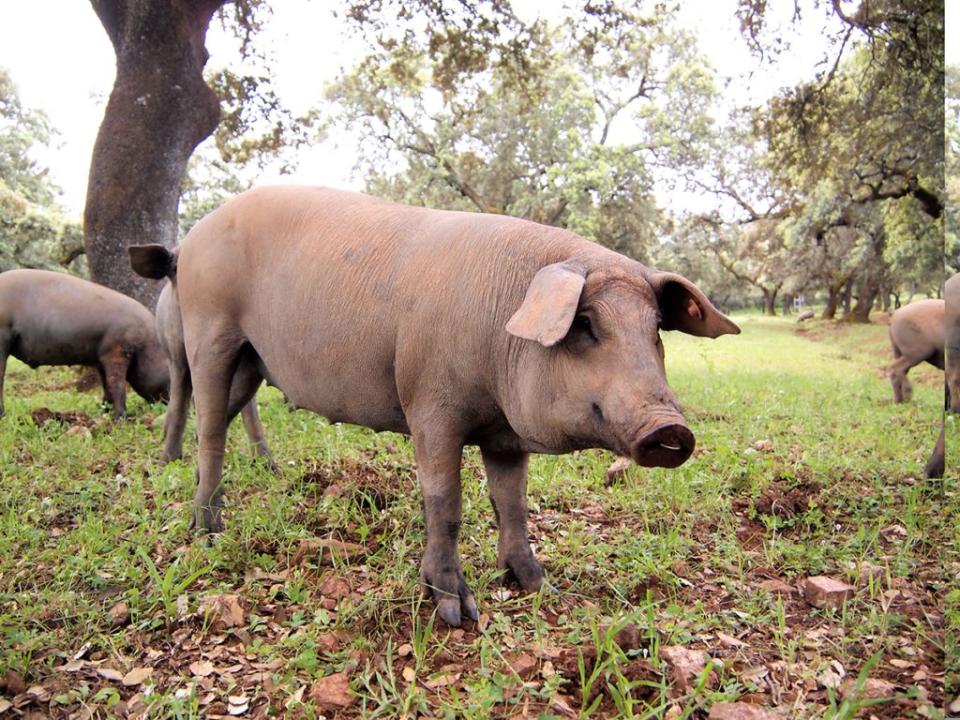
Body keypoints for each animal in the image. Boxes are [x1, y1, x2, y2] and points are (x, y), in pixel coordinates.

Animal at [129, 250, 276, 470]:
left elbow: (250, 411)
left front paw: (268, 464)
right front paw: (166, 461)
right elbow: (179, 408)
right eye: (174, 268)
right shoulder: (178, 360)